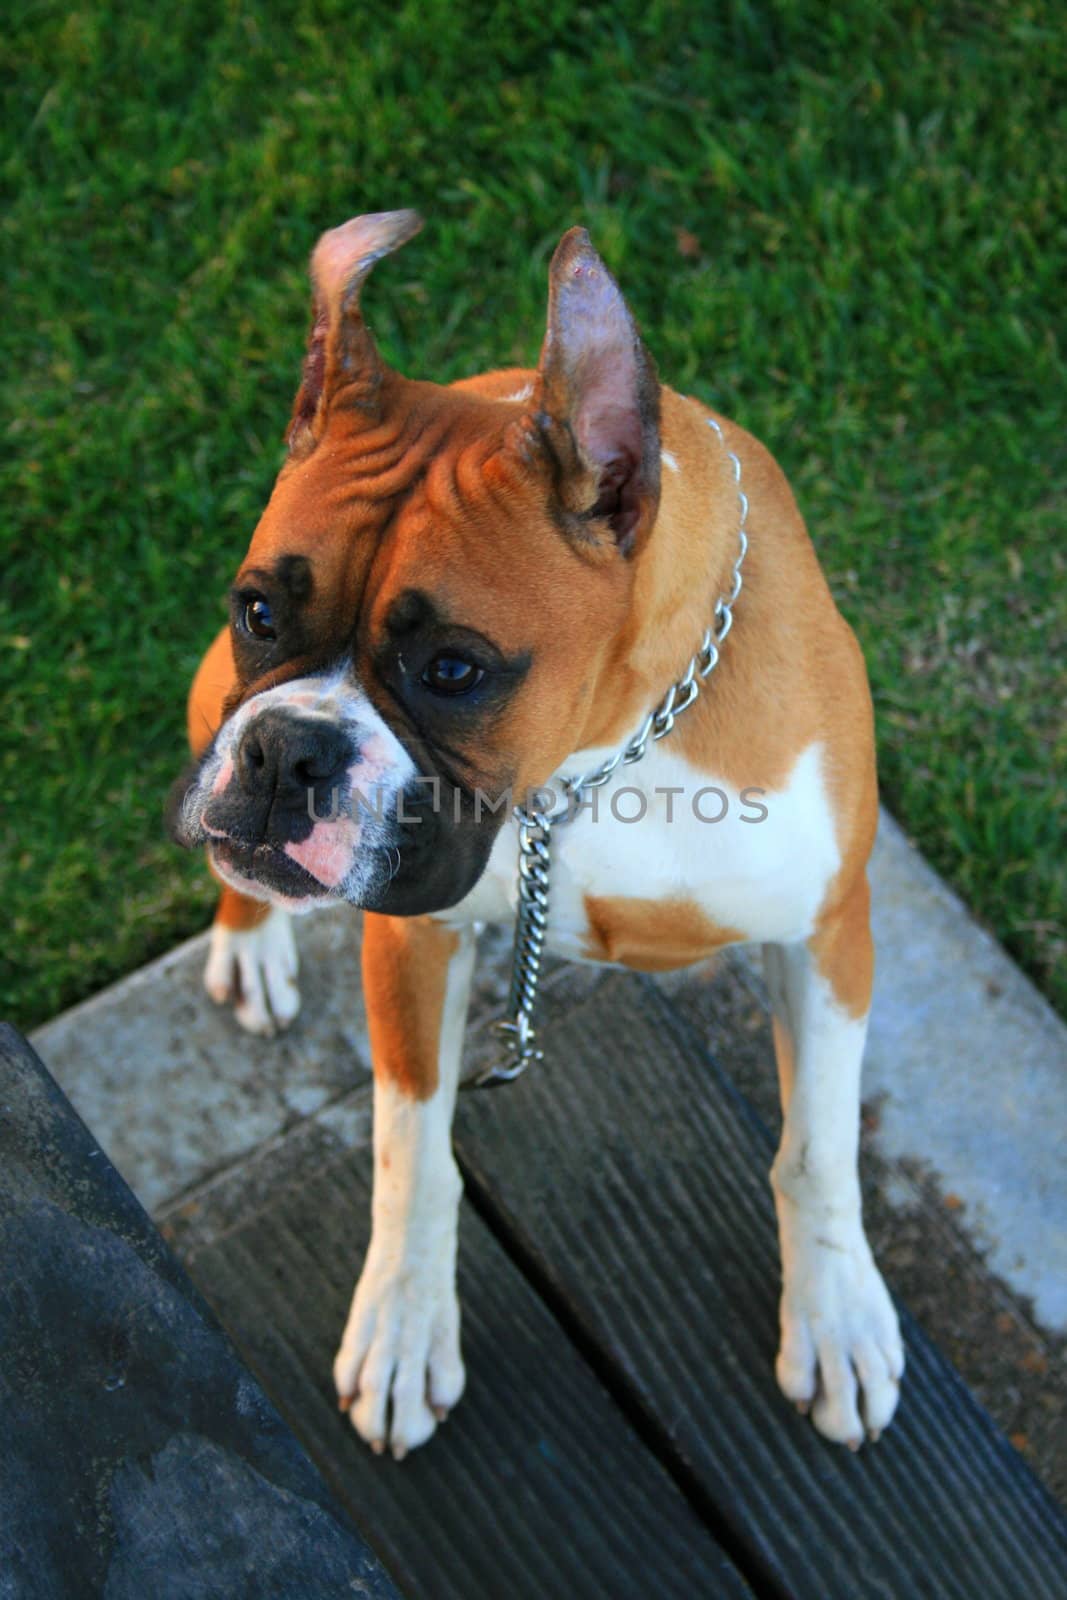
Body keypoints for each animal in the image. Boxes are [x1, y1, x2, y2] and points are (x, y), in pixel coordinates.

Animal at [171, 209, 908, 1465]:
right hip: (207, 704)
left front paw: (837, 1313)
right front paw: (404, 1324)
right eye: (259, 608)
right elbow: (410, 1152)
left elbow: (815, 1148)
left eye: (453, 670)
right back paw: (250, 938)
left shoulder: (826, 933)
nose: (288, 755)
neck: (597, 757)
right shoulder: (411, 939)